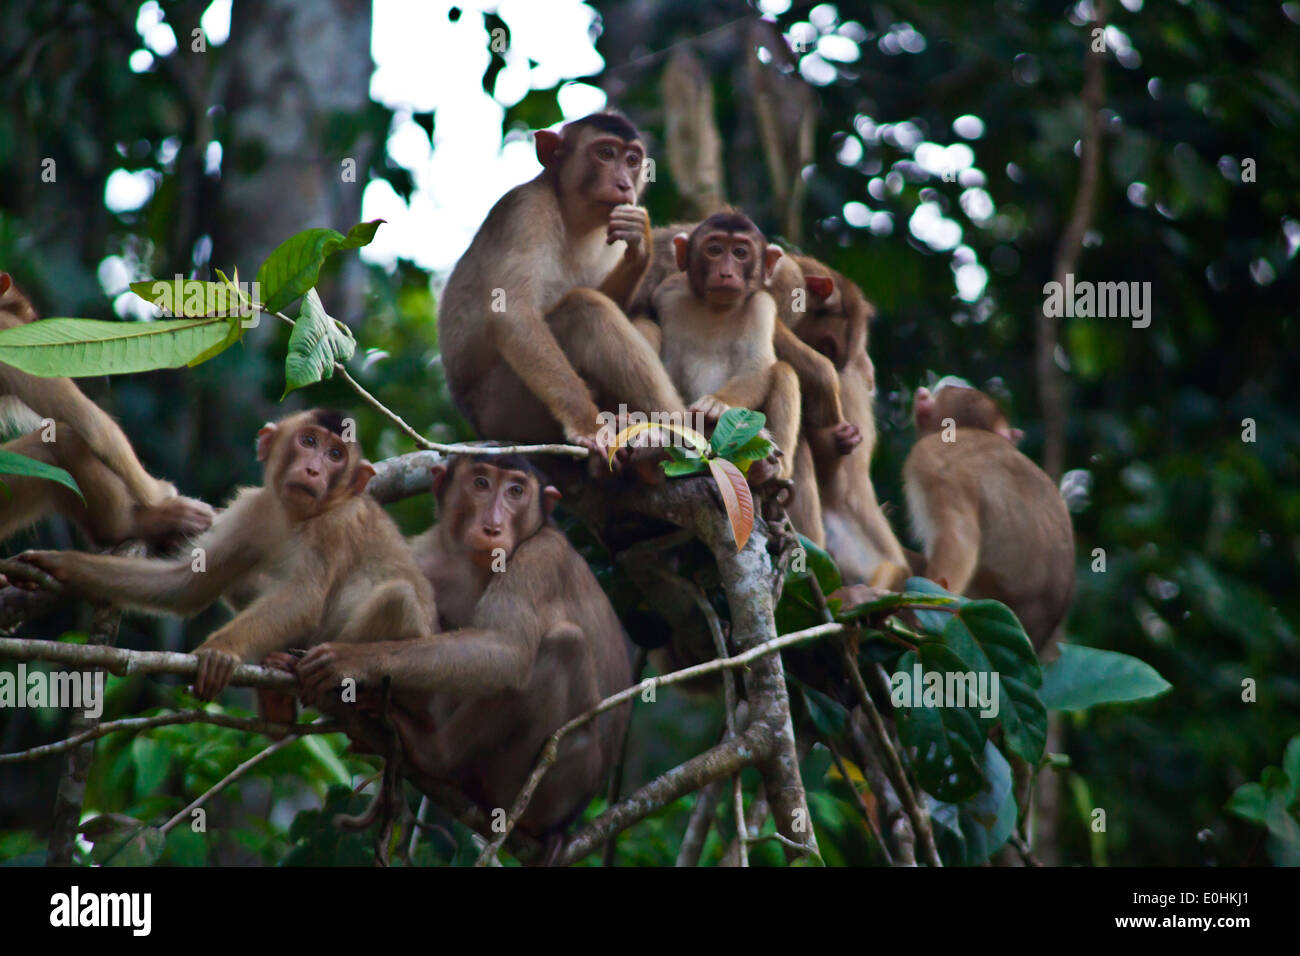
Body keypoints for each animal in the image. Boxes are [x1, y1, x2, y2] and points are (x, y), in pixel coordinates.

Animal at [16, 409, 438, 698]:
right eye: (309, 442)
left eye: (336, 454)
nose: (314, 470)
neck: (297, 517)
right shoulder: (255, 510)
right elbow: (187, 585)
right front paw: (62, 565)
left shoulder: (336, 524)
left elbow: (303, 598)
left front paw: (219, 652)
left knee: (397, 597)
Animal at [293, 454, 632, 843]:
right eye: (481, 483)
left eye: (517, 491)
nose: (493, 526)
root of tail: (565, 821)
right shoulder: (423, 555)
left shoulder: (542, 556)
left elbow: (507, 650)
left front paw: (350, 661)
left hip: (546, 787)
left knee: (564, 645)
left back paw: (436, 755)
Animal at [437, 112, 688, 468]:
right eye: (606, 154)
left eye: (632, 160)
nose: (625, 185)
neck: (575, 218)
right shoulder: (525, 210)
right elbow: (513, 314)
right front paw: (588, 427)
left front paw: (642, 245)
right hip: (505, 410)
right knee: (584, 309)